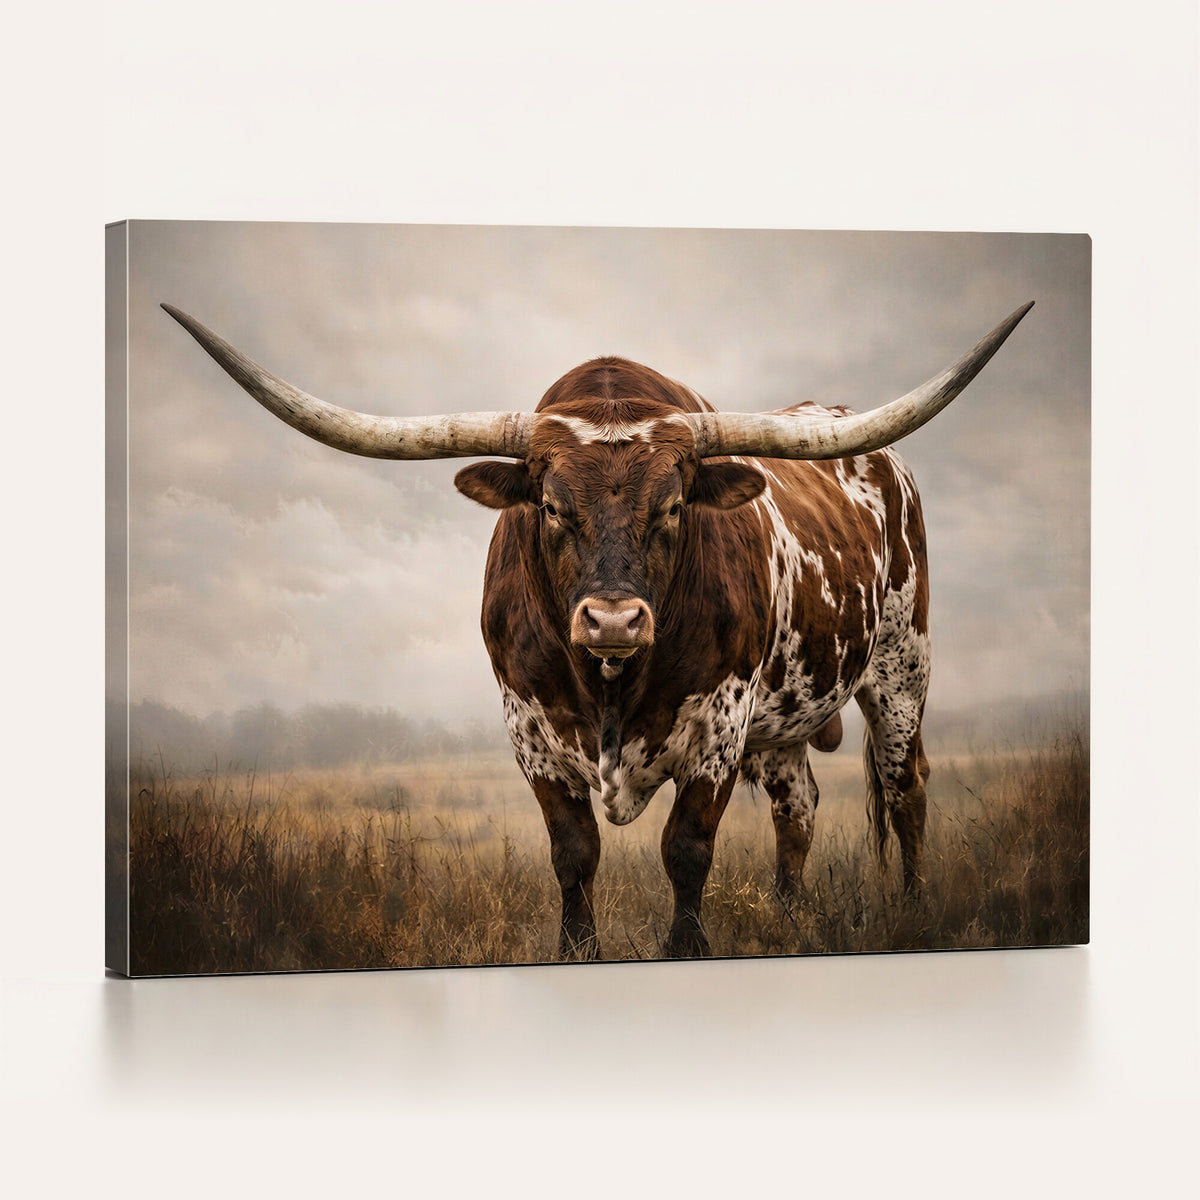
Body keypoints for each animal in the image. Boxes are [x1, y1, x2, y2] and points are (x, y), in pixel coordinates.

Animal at [163, 300, 1033, 959]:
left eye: (674, 507)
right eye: (551, 507)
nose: (613, 618)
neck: (612, 684)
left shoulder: (719, 728)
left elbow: (687, 849)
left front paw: (687, 950)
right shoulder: (530, 732)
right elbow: (573, 854)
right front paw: (577, 951)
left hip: (901, 669)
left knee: (904, 786)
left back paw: (912, 911)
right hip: (786, 720)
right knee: (800, 807)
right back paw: (789, 918)